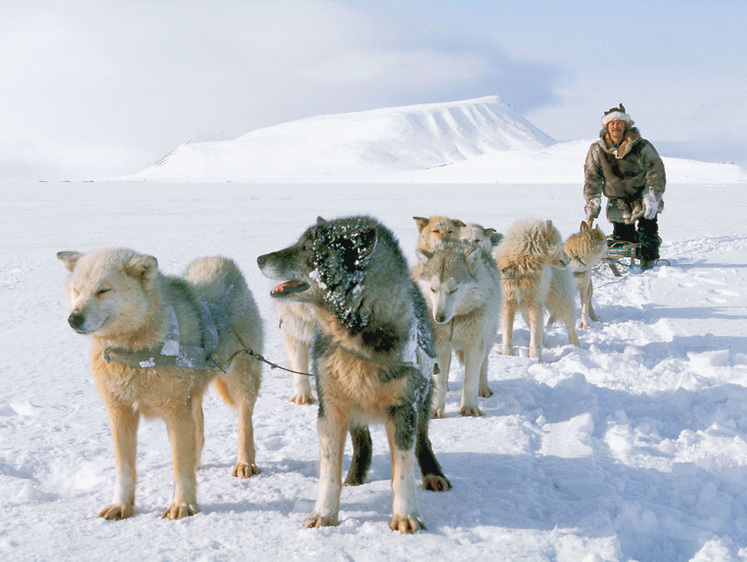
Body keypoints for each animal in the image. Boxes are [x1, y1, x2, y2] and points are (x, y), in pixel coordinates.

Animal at [58, 247, 262, 520]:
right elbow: (124, 468)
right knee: (199, 424)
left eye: (103, 290)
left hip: (239, 380)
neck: (135, 352)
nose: (74, 319)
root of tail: (221, 263)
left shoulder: (175, 412)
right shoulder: (120, 412)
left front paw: (183, 505)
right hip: (193, 392)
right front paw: (122, 505)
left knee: (244, 423)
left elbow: (180, 468)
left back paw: (245, 463)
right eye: (77, 290)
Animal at [258, 215, 450, 532]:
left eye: (308, 247)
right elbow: (328, 472)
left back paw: (433, 473)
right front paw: (324, 514)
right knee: (363, 441)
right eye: (300, 241)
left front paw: (406, 516)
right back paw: (355, 477)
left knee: (423, 440)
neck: (355, 338)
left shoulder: (403, 409)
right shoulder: (331, 409)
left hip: (422, 401)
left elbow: (403, 472)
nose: (260, 258)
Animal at [418, 238, 500, 418]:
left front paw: (469, 409)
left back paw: (483, 389)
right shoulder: (440, 346)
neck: (455, 319)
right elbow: (440, 382)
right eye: (433, 290)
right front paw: (435, 409)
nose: (439, 318)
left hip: (488, 338)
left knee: (484, 365)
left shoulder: (474, 346)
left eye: (453, 290)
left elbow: (470, 381)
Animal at [494, 219, 580, 358]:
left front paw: (535, 357)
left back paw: (577, 348)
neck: (522, 268)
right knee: (541, 332)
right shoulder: (508, 305)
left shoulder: (535, 305)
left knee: (570, 328)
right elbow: (507, 334)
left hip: (562, 303)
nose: (569, 259)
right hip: (526, 312)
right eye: (560, 244)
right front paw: (507, 354)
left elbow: (534, 335)